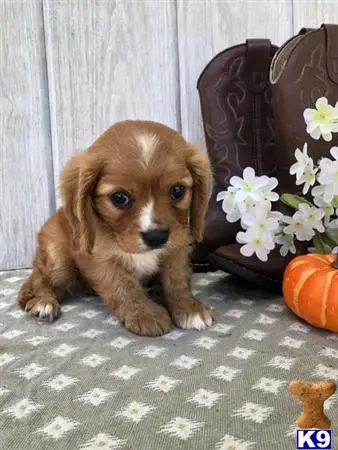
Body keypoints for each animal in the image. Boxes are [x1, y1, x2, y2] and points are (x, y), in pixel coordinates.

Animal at [17, 119, 214, 334]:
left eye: (177, 191)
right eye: (120, 197)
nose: (156, 237)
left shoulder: (176, 246)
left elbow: (176, 279)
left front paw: (189, 308)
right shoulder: (98, 258)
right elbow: (122, 285)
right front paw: (145, 314)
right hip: (58, 259)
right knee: (39, 279)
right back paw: (43, 302)